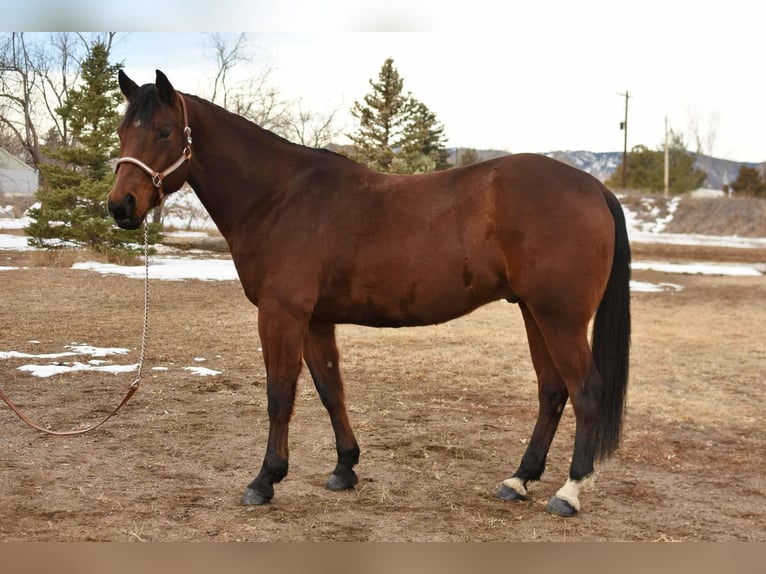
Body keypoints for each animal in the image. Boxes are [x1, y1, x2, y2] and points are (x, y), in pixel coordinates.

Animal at [108, 70, 631, 517]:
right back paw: (519, 479)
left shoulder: (281, 315)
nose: (121, 206)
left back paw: (568, 491)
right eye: (120, 132)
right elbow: (330, 390)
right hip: (534, 314)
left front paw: (265, 480)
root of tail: (594, 188)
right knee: (552, 391)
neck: (277, 196)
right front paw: (345, 468)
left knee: (585, 390)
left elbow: (280, 394)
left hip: (559, 318)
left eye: (163, 132)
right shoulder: (316, 320)